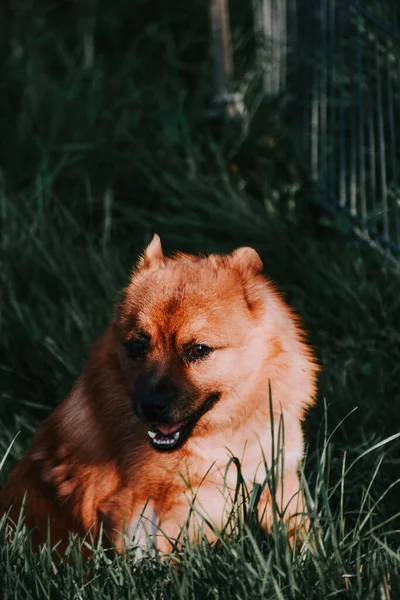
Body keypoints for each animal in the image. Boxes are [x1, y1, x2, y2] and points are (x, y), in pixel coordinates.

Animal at [0, 237, 318, 556]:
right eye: (137, 346)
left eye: (199, 350)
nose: (151, 407)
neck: (220, 440)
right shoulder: (146, 517)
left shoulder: (281, 483)